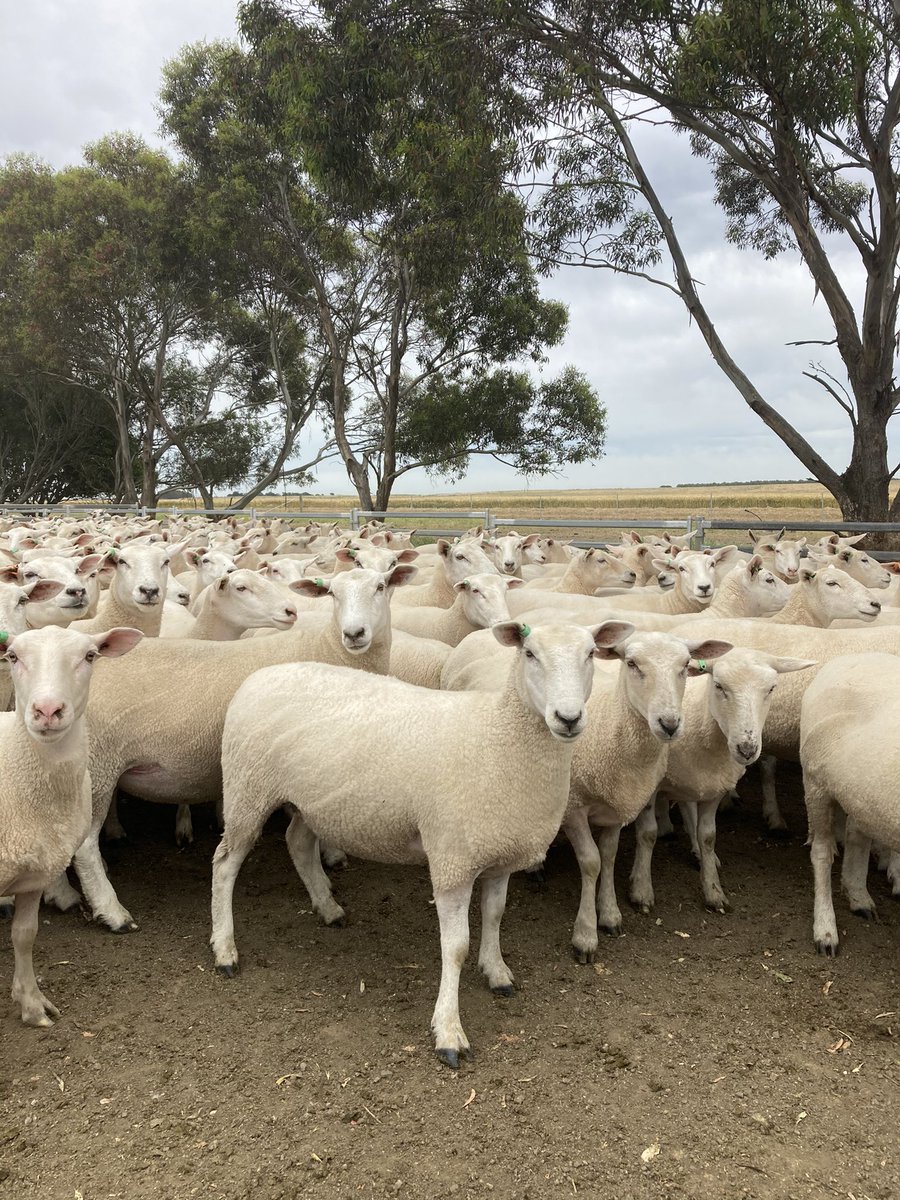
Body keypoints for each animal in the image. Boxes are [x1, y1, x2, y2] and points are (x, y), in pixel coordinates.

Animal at [0, 625, 142, 1024]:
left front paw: (32, 1005)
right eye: (13, 656)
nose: (47, 710)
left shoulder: (35, 873)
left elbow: (25, 935)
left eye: (90, 656)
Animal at [211, 619, 634, 1065]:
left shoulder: (499, 851)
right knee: (224, 864)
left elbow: (496, 915)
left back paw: (327, 908)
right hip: (247, 788)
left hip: (311, 801)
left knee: (297, 842)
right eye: (530, 654)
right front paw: (449, 1031)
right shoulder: (452, 859)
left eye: (590, 653)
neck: (499, 738)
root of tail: (258, 677)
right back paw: (225, 950)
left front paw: (496, 971)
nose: (568, 718)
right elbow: (456, 948)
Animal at [800, 651, 900, 955]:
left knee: (856, 833)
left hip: (859, 787)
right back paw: (825, 930)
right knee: (821, 853)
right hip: (815, 780)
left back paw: (858, 897)